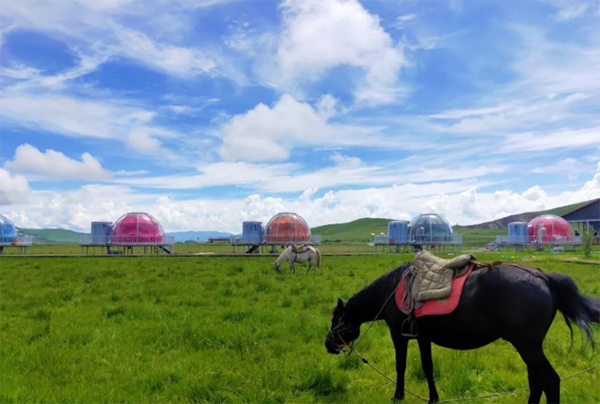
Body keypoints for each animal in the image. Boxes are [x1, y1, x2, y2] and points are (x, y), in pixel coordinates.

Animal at [326, 262, 600, 404]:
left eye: (334, 319)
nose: (328, 345)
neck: (392, 290)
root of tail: (542, 277)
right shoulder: (422, 337)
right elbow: (427, 367)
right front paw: (433, 398)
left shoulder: (398, 335)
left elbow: (400, 366)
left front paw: (398, 396)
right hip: (530, 347)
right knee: (537, 381)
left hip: (527, 346)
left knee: (550, 381)